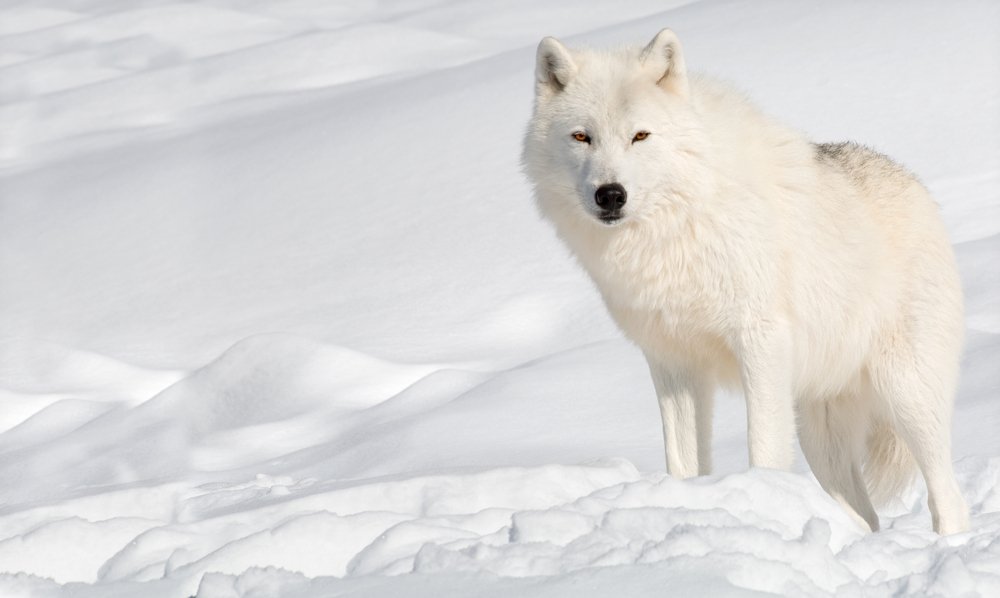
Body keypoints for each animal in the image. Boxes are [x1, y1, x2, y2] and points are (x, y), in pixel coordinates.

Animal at [524, 29, 968, 536]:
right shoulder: (673, 362)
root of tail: (918, 188)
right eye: (582, 137)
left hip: (907, 396)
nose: (610, 195)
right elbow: (684, 462)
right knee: (865, 516)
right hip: (822, 437)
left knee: (949, 499)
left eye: (640, 135)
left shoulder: (760, 341)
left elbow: (764, 448)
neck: (677, 227)